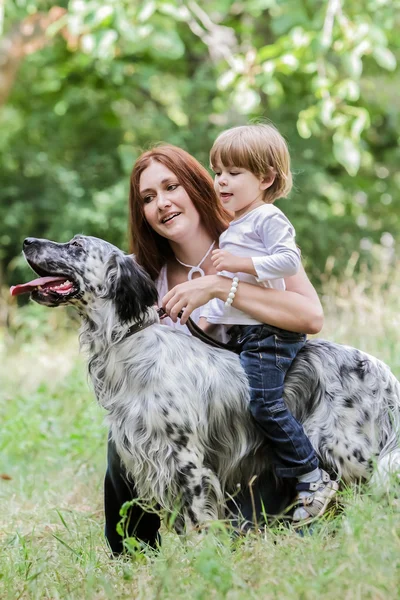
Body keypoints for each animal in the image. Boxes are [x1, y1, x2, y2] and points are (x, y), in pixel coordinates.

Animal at [12, 234, 400, 528]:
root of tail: (381, 370)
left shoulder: (188, 461)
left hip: (350, 455)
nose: (27, 241)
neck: (129, 341)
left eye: (76, 245)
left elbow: (199, 523)